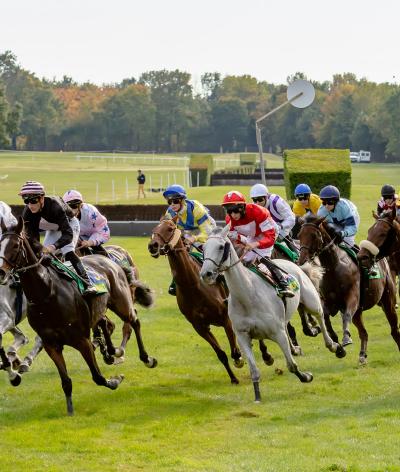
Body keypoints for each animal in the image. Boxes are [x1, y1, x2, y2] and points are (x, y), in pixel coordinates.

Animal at [0, 216, 157, 414]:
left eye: (15, 245)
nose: (1, 272)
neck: (47, 293)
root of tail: (108, 259)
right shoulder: (52, 344)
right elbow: (66, 381)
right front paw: (70, 409)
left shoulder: (82, 340)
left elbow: (97, 376)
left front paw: (115, 380)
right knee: (108, 324)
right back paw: (112, 352)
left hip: (122, 303)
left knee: (133, 321)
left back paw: (144, 358)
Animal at [148, 218, 248, 384]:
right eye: (154, 229)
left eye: (170, 228)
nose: (153, 245)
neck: (193, 286)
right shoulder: (199, 327)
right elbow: (221, 354)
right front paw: (233, 378)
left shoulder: (225, 318)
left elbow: (235, 352)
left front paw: (239, 360)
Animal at [202, 226, 346, 402]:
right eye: (204, 247)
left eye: (221, 247)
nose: (206, 274)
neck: (247, 296)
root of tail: (294, 264)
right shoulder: (243, 336)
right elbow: (254, 370)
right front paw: (257, 396)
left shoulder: (277, 333)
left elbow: (291, 365)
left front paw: (306, 376)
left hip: (311, 301)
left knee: (320, 317)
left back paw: (334, 346)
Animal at [298, 214, 398, 366]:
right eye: (299, 235)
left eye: (314, 235)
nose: (301, 260)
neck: (334, 268)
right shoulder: (327, 301)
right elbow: (325, 318)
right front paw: (337, 346)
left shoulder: (352, 298)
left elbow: (345, 316)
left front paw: (345, 338)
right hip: (358, 313)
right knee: (364, 333)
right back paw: (362, 355)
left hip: (388, 301)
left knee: (393, 329)